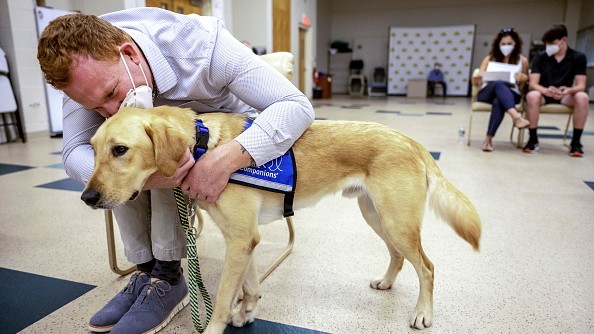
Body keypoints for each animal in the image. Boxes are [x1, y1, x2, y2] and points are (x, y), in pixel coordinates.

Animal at [83, 105, 478, 332]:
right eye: (94, 149)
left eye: (120, 150)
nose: (87, 198)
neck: (203, 145)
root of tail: (411, 141)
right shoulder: (244, 239)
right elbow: (250, 284)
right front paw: (247, 312)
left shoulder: (241, 238)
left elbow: (222, 300)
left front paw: (219, 324)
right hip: (378, 217)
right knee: (398, 256)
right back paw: (386, 282)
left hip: (397, 222)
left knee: (427, 267)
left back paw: (422, 314)